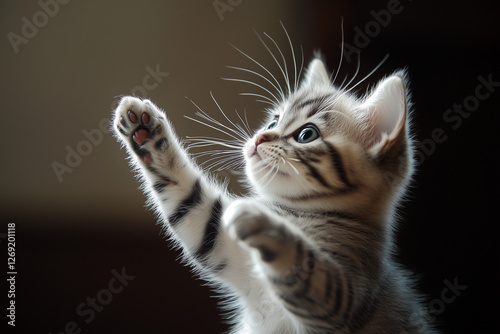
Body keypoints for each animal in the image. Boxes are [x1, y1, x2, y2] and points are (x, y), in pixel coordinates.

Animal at [111, 53, 436, 332]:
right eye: (273, 121)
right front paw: (145, 133)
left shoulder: (347, 295)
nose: (259, 137)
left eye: (306, 134)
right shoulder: (221, 243)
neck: (302, 211)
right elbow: (191, 203)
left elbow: (306, 266)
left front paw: (262, 222)